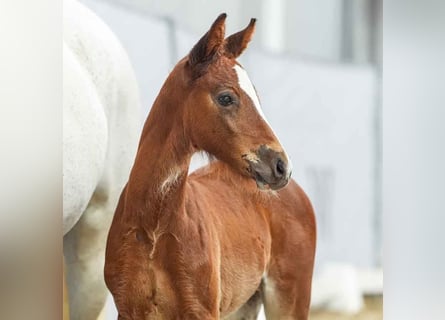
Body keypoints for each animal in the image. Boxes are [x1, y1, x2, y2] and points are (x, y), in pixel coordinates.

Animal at [104, 13, 316, 318]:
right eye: (226, 97)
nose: (280, 166)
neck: (154, 226)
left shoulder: (201, 310)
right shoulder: (129, 309)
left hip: (289, 299)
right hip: (243, 304)